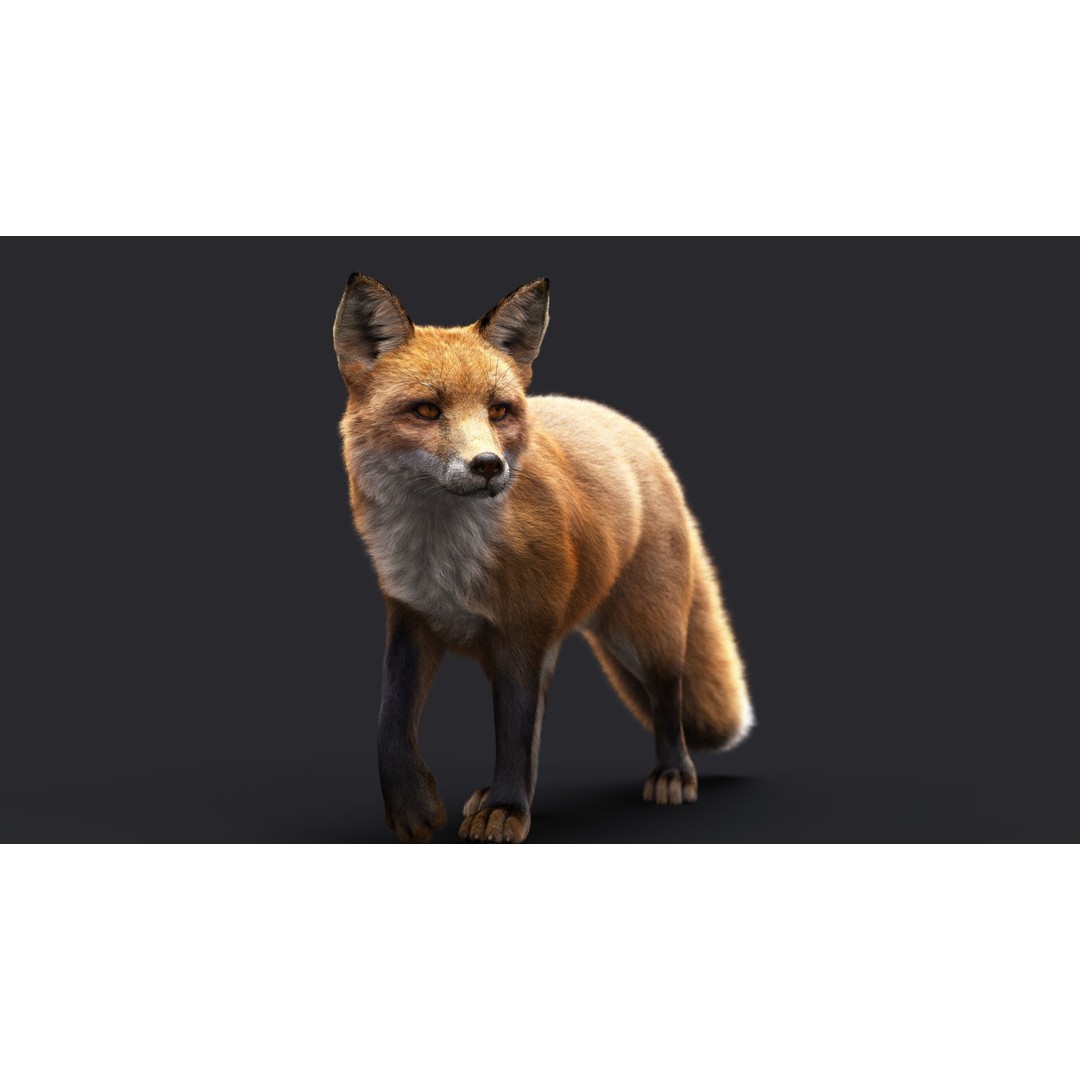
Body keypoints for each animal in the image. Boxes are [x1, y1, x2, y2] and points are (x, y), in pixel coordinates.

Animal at [334, 274, 753, 843]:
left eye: (498, 411)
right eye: (425, 410)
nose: (489, 465)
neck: (443, 561)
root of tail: (629, 428)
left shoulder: (522, 631)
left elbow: (511, 730)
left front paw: (507, 810)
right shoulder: (411, 618)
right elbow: (390, 720)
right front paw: (412, 807)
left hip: (644, 634)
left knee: (669, 695)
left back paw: (672, 773)